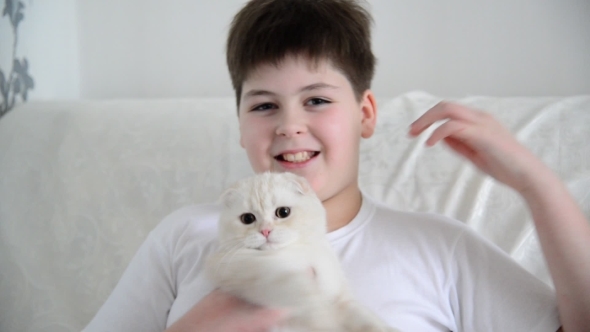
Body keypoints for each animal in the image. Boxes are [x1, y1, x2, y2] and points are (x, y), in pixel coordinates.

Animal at [207, 172, 402, 330]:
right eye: (247, 218)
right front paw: (320, 314)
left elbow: (363, 317)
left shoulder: (340, 296)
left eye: (283, 212)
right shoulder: (238, 268)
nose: (265, 231)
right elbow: (289, 284)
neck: (295, 252)